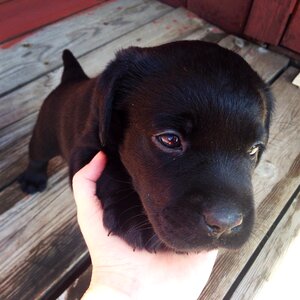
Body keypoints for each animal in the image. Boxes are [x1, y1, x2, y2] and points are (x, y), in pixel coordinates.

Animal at [18, 41, 274, 253]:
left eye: (253, 149)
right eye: (170, 139)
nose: (225, 224)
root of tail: (71, 80)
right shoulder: (88, 146)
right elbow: (110, 166)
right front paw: (131, 214)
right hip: (44, 134)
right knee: (37, 155)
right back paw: (33, 179)